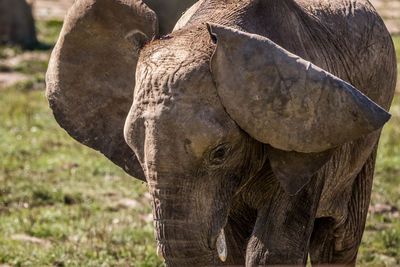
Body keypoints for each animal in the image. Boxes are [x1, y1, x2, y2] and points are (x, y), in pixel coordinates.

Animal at [46, 0, 396, 266]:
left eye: (220, 153)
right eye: (134, 150)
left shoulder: (305, 128)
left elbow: (272, 251)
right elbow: (238, 245)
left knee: (338, 241)